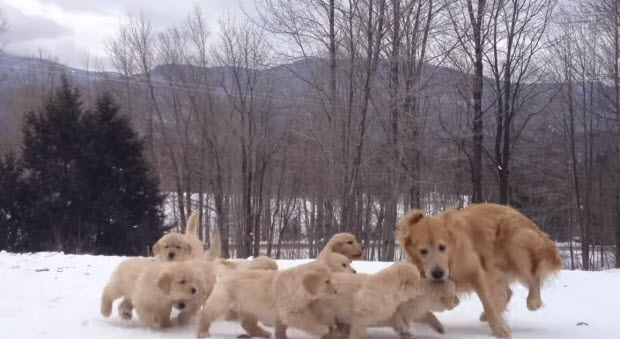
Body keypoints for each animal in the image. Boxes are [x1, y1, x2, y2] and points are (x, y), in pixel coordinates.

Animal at [196, 262, 336, 338]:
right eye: (327, 281)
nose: (335, 292)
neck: (297, 286)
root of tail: (227, 273)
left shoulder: (282, 314)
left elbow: (281, 329)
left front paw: (283, 337)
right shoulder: (289, 312)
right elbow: (306, 321)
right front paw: (323, 328)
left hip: (250, 306)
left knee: (247, 324)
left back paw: (263, 333)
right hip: (222, 301)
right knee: (206, 313)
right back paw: (203, 332)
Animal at [398, 203, 560, 338]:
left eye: (442, 247)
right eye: (423, 251)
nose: (438, 274)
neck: (451, 258)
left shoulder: (477, 274)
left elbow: (488, 304)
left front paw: (499, 329)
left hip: (515, 246)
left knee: (532, 277)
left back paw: (533, 301)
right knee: (508, 292)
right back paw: (487, 315)